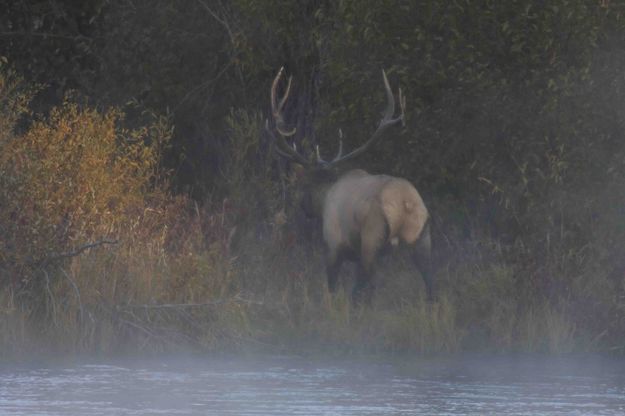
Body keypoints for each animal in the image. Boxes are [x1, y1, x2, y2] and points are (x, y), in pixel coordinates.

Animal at [266, 67, 432, 302]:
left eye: (302, 185)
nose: (304, 208)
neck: (324, 196)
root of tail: (405, 204)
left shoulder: (333, 245)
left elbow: (332, 286)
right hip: (423, 236)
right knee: (431, 284)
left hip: (372, 236)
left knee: (366, 287)